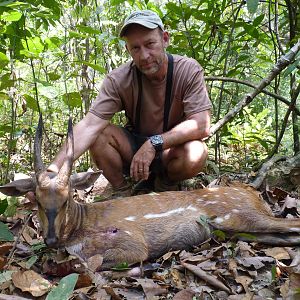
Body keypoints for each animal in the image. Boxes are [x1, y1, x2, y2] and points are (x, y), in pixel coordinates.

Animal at [0, 117, 300, 270]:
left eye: (66, 199)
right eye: (37, 201)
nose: (50, 239)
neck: (81, 227)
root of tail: (254, 194)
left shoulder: (132, 240)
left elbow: (90, 263)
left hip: (241, 215)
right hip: (238, 229)